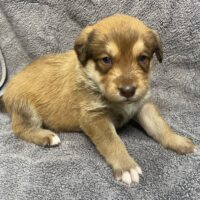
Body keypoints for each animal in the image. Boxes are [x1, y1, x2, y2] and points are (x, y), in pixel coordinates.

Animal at [0, 14, 196, 185]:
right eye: (106, 59)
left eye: (143, 58)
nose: (128, 91)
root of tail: (8, 89)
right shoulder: (95, 117)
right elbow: (113, 142)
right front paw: (127, 167)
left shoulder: (143, 105)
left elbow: (160, 127)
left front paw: (179, 142)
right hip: (26, 109)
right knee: (20, 128)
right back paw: (46, 136)